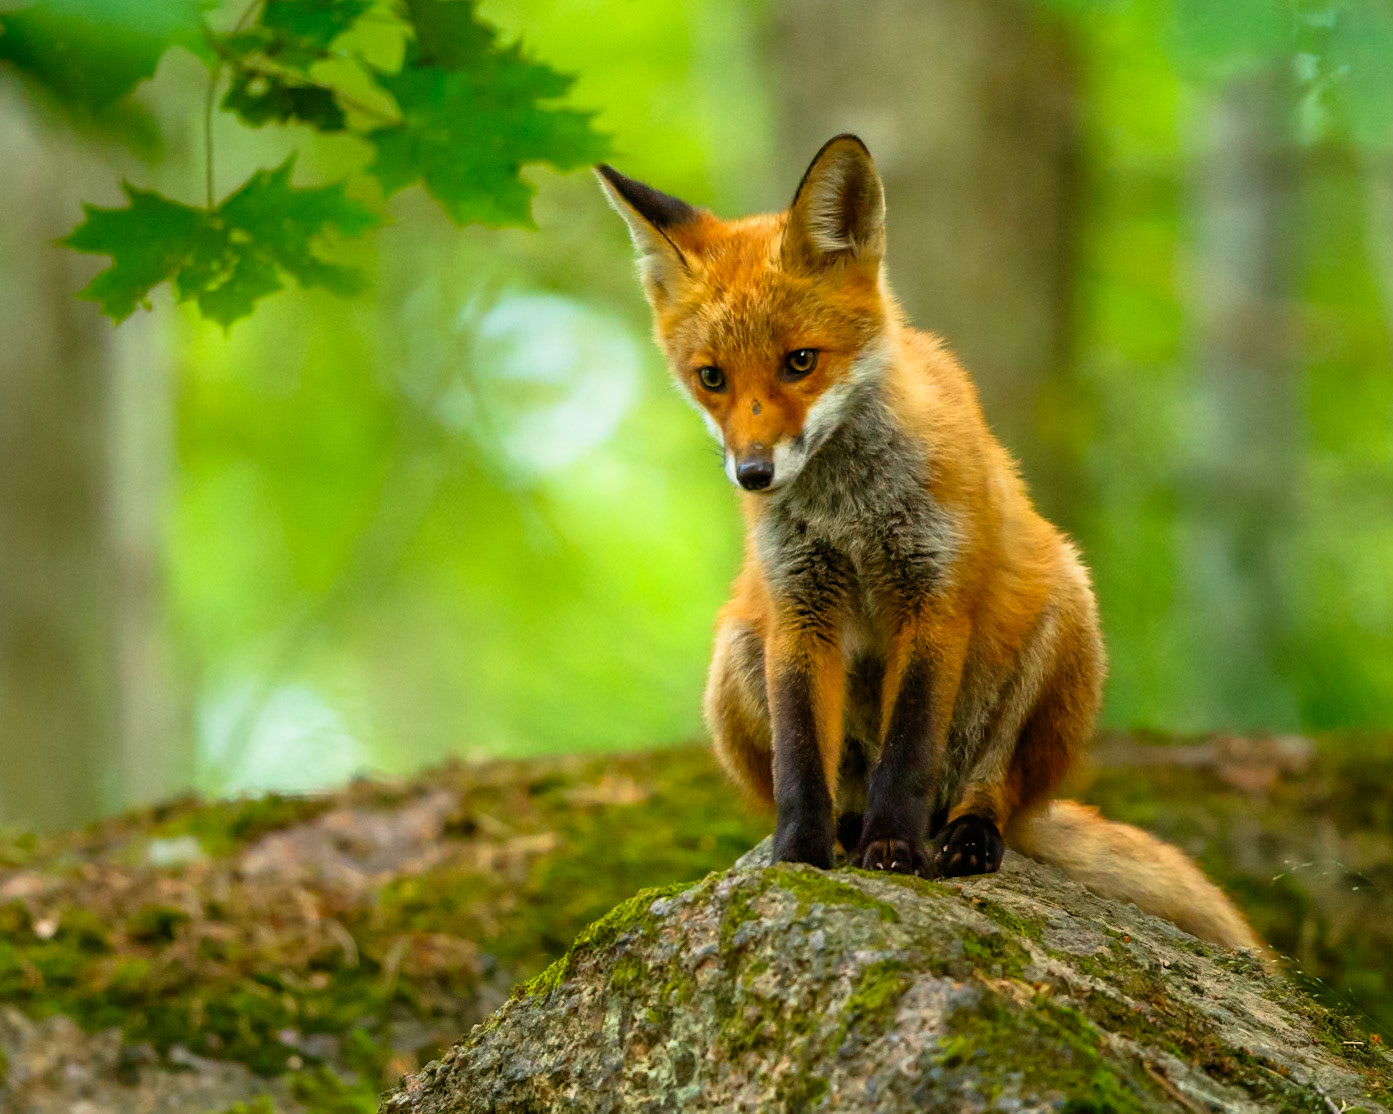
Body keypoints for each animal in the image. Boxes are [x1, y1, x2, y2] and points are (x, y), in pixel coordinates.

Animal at [596, 134, 1261, 953]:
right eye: (711, 378)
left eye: (800, 361)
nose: (754, 475)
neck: (849, 510)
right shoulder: (798, 607)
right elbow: (800, 760)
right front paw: (801, 858)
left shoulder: (933, 597)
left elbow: (907, 749)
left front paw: (892, 851)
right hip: (732, 656)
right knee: (839, 779)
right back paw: (848, 830)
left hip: (1063, 617)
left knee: (990, 790)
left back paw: (964, 837)